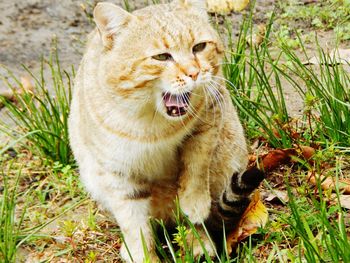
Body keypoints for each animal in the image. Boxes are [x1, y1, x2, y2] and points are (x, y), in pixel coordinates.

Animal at [69, 1, 262, 262]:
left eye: (199, 47)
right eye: (162, 57)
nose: (194, 73)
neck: (152, 124)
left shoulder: (211, 114)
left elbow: (197, 164)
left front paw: (194, 202)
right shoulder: (117, 172)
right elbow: (134, 223)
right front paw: (142, 254)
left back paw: (199, 243)